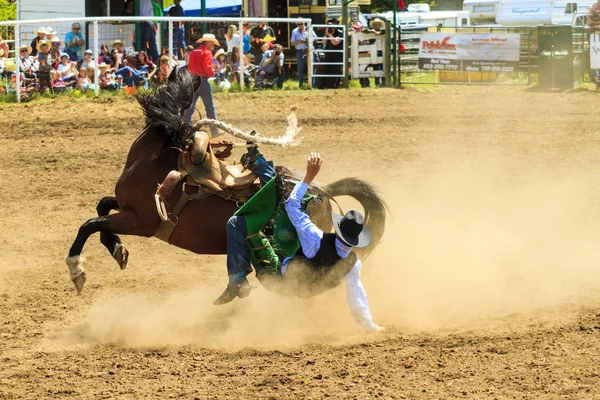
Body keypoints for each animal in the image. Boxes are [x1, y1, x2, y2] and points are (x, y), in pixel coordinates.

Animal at [64, 68, 384, 294]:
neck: (153, 158)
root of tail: (321, 193)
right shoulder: (127, 208)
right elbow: (102, 207)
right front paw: (117, 249)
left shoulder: (141, 221)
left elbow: (89, 224)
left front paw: (77, 269)